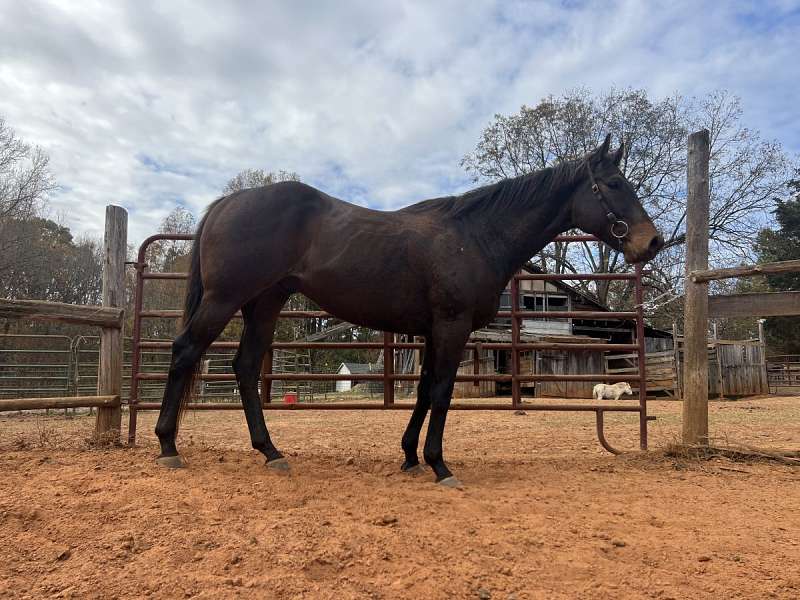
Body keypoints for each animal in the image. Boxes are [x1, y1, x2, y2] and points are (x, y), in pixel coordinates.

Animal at [155, 134, 664, 486]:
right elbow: (440, 392)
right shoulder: (452, 327)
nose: (652, 242)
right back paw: (168, 446)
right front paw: (440, 465)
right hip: (225, 299)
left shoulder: (431, 331)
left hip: (265, 303)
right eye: (614, 184)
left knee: (243, 366)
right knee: (185, 351)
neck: (475, 235)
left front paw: (411, 457)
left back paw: (271, 452)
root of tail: (229, 202)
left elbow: (421, 392)